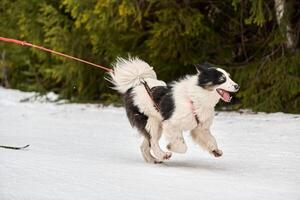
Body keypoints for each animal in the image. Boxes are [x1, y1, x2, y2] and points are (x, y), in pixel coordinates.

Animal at [108, 57, 239, 163]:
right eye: (222, 79)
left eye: (229, 77)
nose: (237, 86)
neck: (196, 97)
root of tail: (137, 83)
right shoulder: (171, 124)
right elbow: (183, 147)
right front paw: (170, 147)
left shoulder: (200, 128)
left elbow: (211, 139)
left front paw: (215, 150)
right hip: (151, 121)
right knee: (153, 142)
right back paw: (163, 155)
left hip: (156, 124)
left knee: (145, 145)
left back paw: (154, 160)